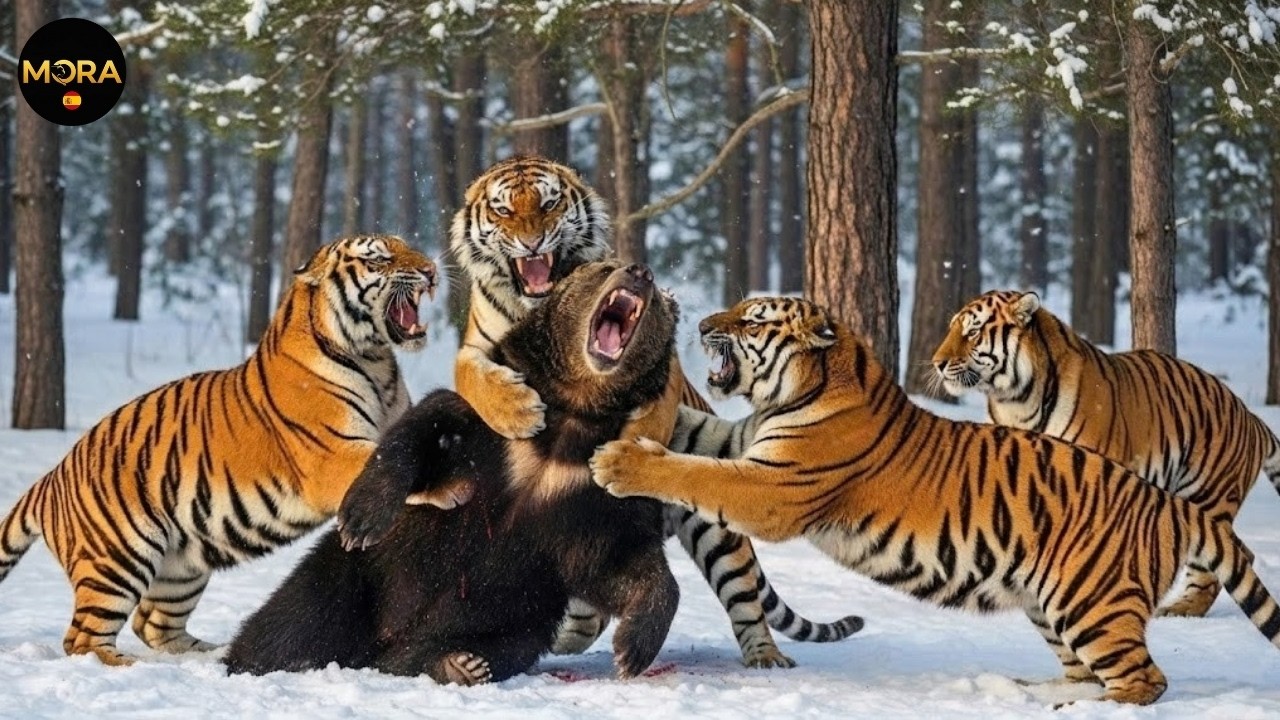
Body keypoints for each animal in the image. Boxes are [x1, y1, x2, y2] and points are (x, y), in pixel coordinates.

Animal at [0, 234, 437, 667]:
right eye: (378, 259)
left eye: (406, 246)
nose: (432, 271)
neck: (377, 364)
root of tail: (49, 479)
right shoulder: (331, 457)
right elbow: (388, 461)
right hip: (118, 560)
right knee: (81, 640)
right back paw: (130, 664)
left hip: (182, 569)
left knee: (152, 624)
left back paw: (209, 653)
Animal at [448, 155, 861, 667]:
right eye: (504, 211)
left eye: (548, 204)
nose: (531, 241)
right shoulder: (477, 349)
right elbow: (474, 378)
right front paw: (519, 411)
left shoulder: (663, 377)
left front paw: (622, 458)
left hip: (715, 531)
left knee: (744, 595)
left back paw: (765, 655)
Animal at [931, 289, 1280, 618]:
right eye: (951, 329)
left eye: (973, 331)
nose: (937, 363)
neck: (1015, 401)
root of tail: (1253, 418)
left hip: (1208, 497)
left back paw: (1182, 610)